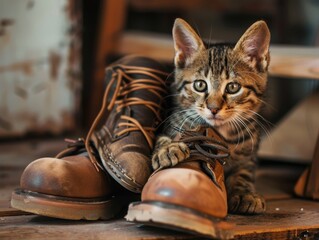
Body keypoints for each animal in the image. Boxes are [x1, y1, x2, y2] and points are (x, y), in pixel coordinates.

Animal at [151, 17, 272, 215]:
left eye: (233, 87)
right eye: (200, 85)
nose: (213, 108)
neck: (222, 132)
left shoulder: (250, 153)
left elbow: (244, 172)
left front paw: (244, 193)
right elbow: (162, 138)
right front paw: (168, 149)